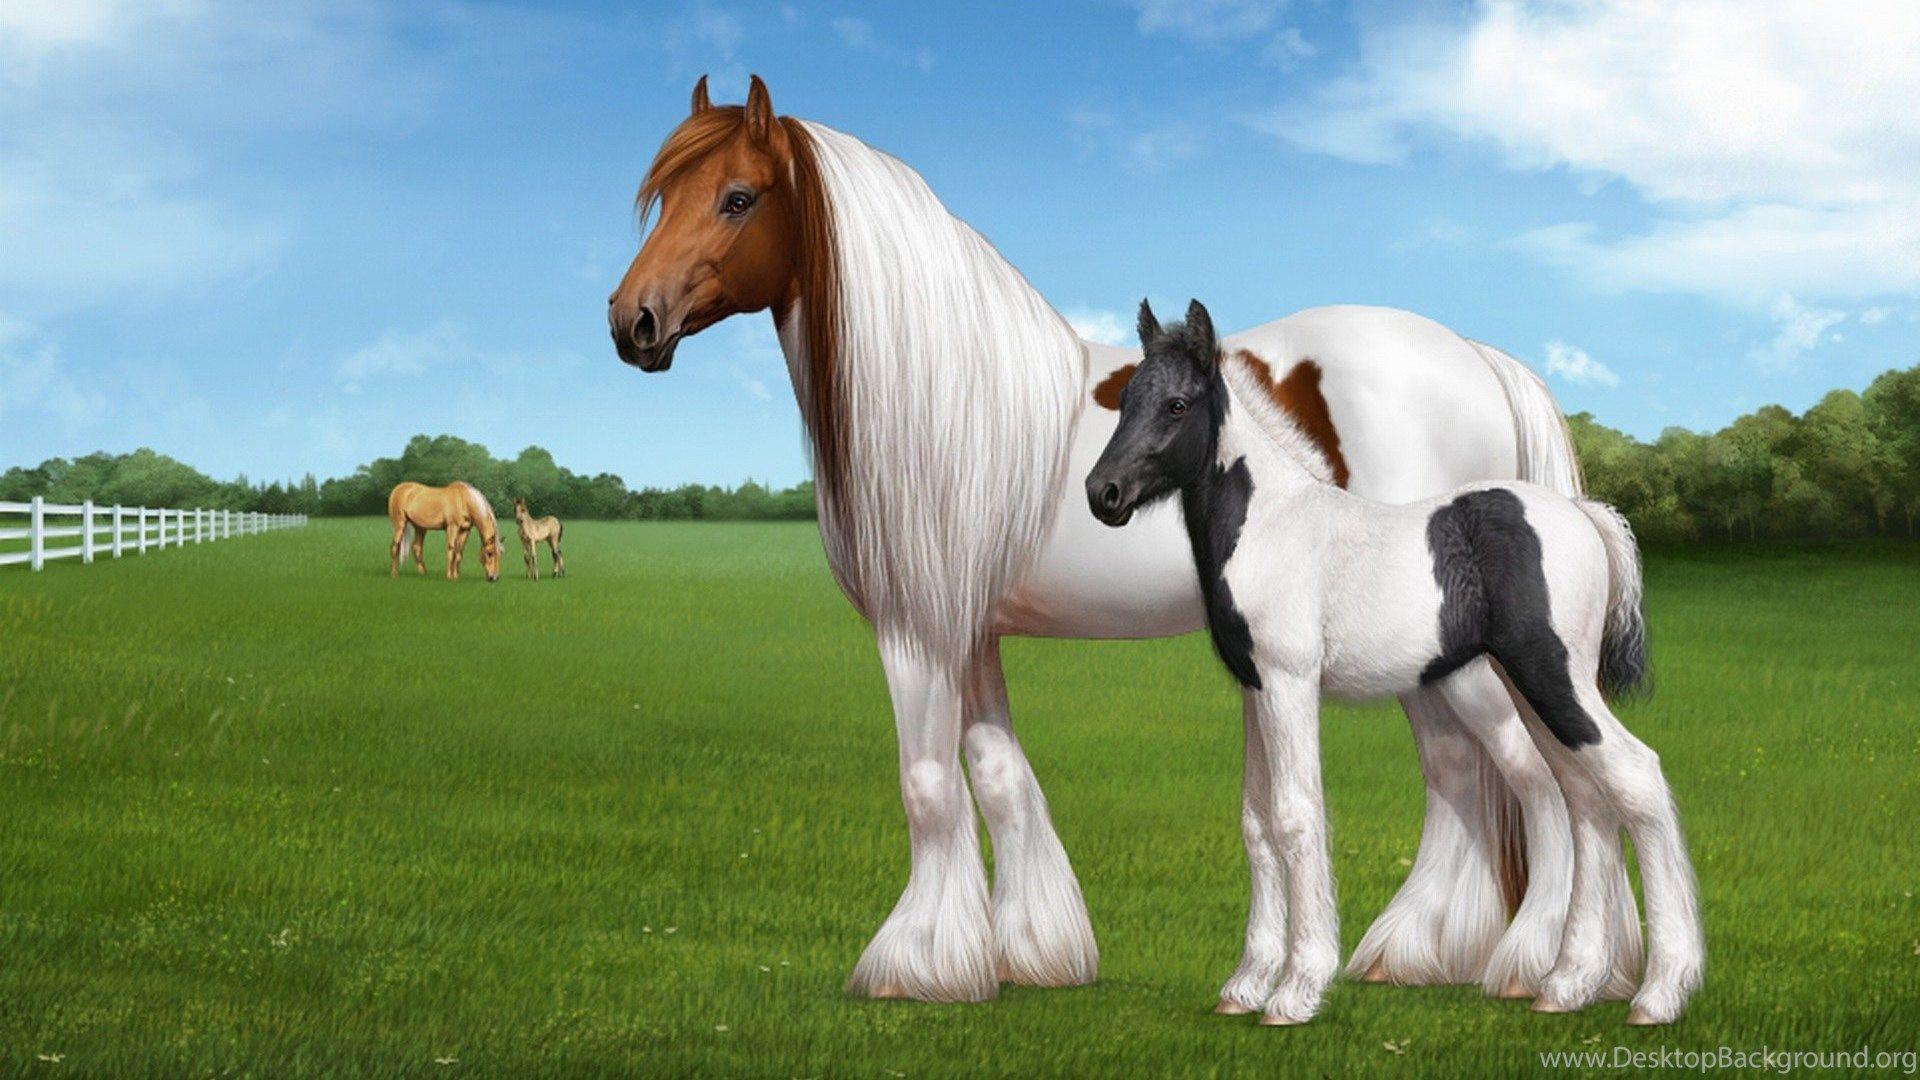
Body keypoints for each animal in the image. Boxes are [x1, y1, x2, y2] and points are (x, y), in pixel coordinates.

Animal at [607, 75, 1641, 1004]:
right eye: (664, 197)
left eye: (738, 198)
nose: (632, 322)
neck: (946, 396)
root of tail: (1481, 360)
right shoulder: (970, 631)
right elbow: (999, 778)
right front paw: (1031, 953)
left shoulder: (918, 630)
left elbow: (929, 784)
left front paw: (917, 969)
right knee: (1472, 777)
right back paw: (1423, 954)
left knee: (1542, 782)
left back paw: (1529, 968)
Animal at [1086, 300, 1701, 1026]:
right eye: (1125, 399)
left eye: (1177, 404)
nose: (1103, 494)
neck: (1271, 523)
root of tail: (1585, 516)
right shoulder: (1254, 687)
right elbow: (1257, 823)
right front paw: (1245, 985)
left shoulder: (1291, 683)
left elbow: (1296, 816)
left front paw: (1296, 990)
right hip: (1529, 686)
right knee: (1586, 800)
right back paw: (1565, 984)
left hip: (1553, 677)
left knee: (1636, 778)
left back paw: (1659, 993)